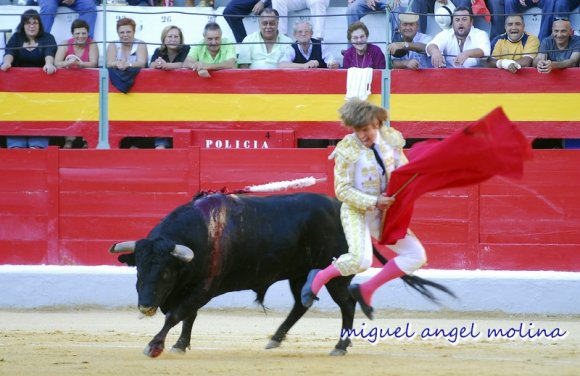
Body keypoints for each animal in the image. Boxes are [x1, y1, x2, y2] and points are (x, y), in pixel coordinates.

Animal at [109, 192, 454, 356]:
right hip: (299, 274)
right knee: (301, 304)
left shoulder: (204, 286)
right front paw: (181, 344)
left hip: (336, 274)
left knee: (347, 303)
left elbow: (177, 314)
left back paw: (340, 346)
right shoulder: (193, 288)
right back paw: (275, 338)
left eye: (167, 272)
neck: (201, 233)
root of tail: (340, 208)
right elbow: (188, 316)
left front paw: (155, 345)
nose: (146, 305)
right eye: (139, 268)